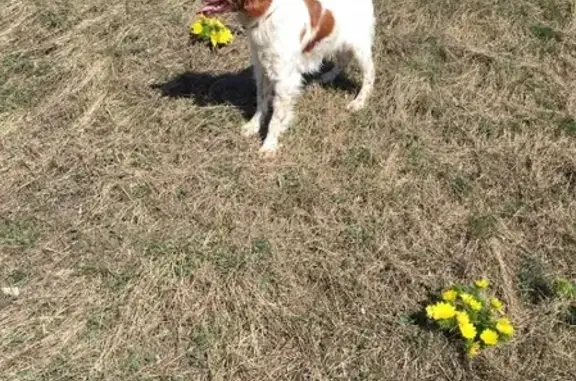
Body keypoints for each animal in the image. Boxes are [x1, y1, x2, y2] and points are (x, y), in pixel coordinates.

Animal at [199, 0, 378, 155]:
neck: (267, 15)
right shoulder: (262, 69)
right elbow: (261, 102)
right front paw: (253, 126)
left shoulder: (285, 79)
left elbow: (276, 118)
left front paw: (269, 145)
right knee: (343, 59)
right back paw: (328, 76)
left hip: (359, 46)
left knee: (369, 74)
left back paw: (358, 102)